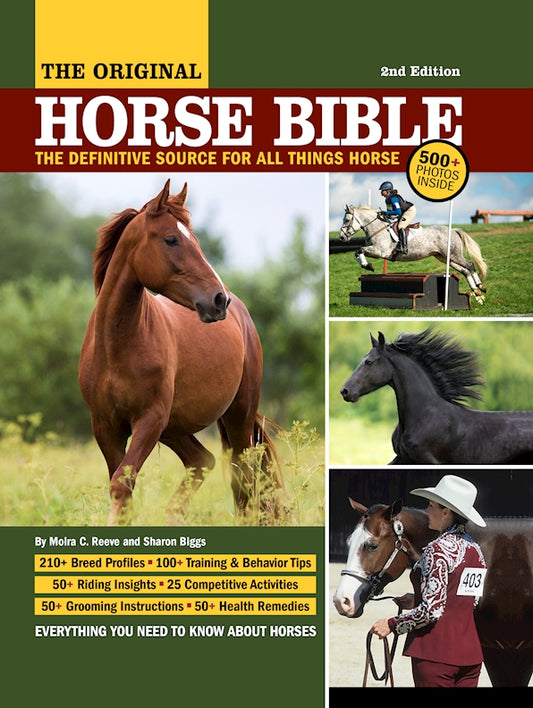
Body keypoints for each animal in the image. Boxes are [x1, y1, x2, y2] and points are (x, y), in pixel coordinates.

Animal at [79, 180, 282, 525]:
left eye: (195, 240)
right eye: (171, 239)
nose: (218, 300)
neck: (116, 346)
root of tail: (242, 316)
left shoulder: (149, 420)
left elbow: (122, 484)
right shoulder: (105, 427)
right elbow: (122, 488)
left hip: (236, 418)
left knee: (242, 478)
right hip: (174, 428)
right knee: (203, 460)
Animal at [336, 205, 487, 303]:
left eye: (347, 220)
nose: (342, 238)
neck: (377, 227)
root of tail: (453, 230)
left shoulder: (380, 251)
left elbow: (359, 250)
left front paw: (368, 266)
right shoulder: (376, 250)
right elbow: (358, 251)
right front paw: (367, 265)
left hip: (454, 256)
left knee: (470, 264)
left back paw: (480, 286)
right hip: (446, 258)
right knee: (464, 270)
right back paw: (475, 290)